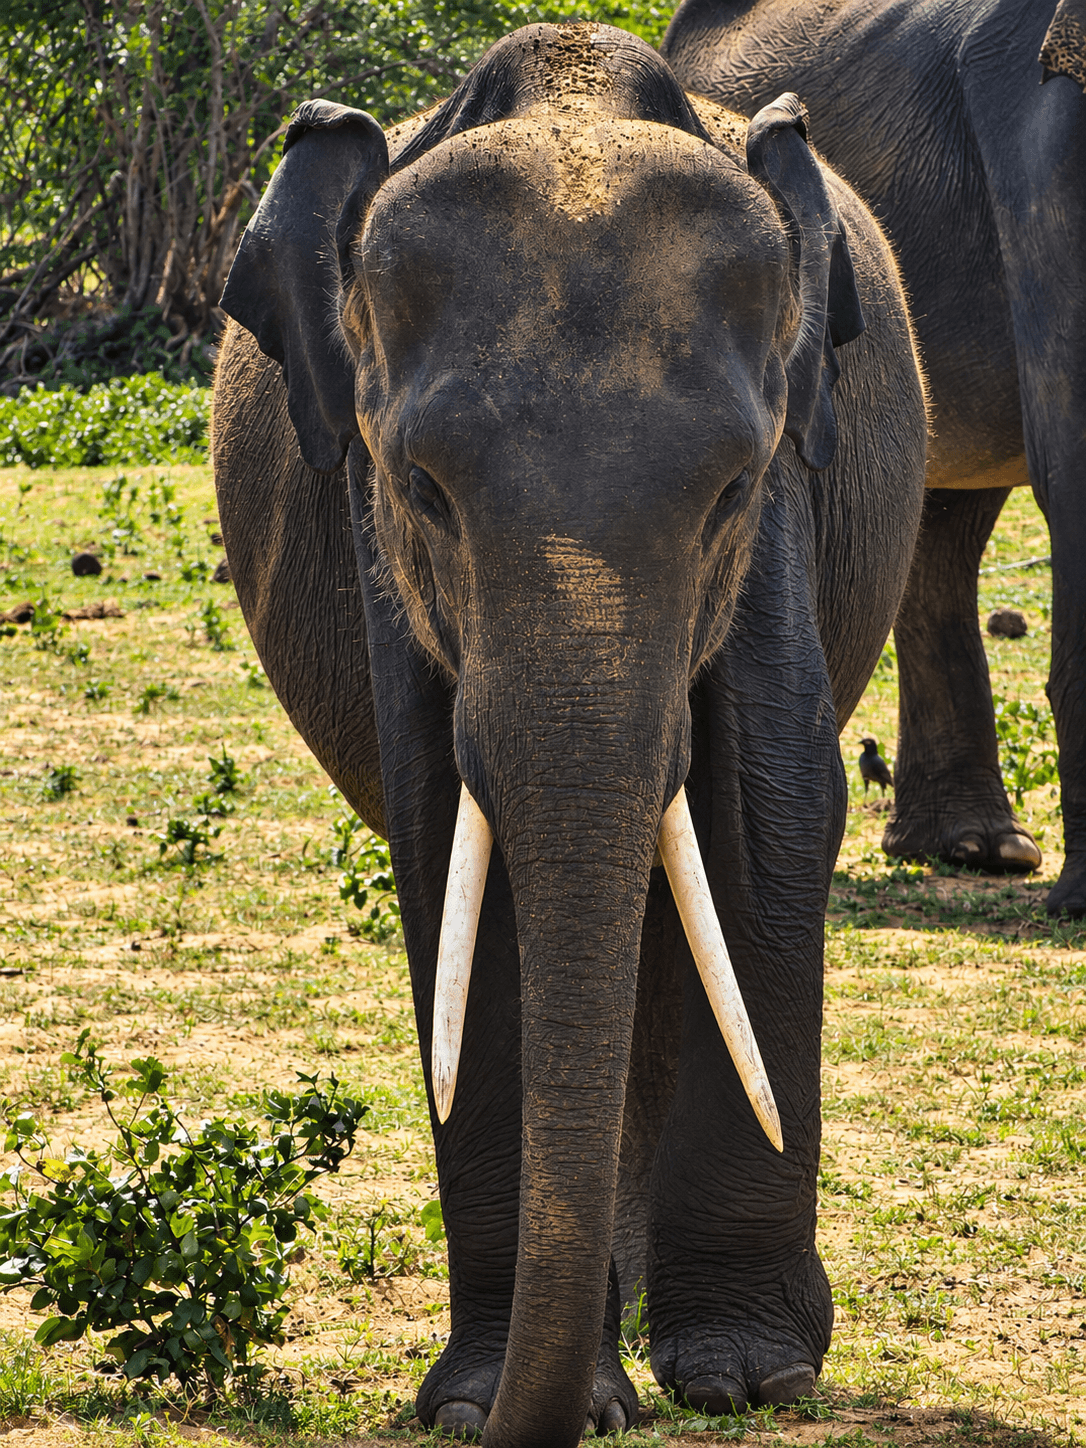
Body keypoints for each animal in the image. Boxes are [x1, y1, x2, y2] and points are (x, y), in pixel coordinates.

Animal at [211, 23, 926, 1446]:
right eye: (421, 487)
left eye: (734, 488)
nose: (519, 1419)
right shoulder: (378, 542)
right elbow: (447, 842)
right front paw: (487, 1397)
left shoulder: (788, 494)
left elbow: (771, 809)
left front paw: (748, 1375)